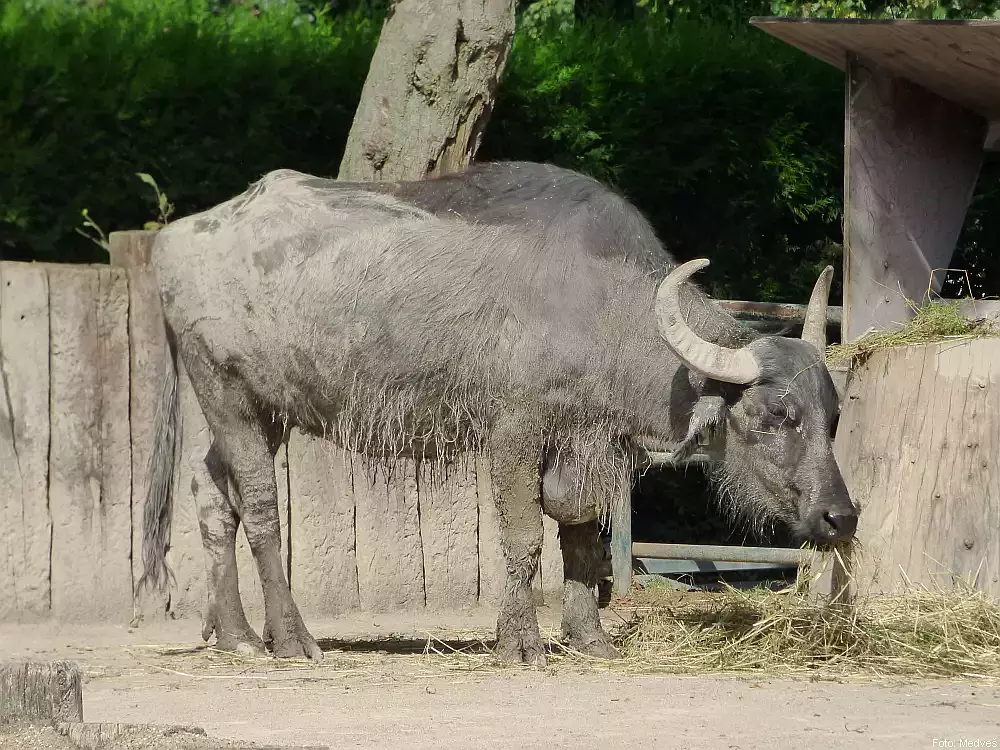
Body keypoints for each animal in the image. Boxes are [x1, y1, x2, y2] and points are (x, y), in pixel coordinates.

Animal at [139, 163, 860, 664]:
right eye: (775, 413)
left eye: (833, 417)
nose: (840, 517)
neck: (598, 303)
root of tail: (175, 240)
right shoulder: (514, 430)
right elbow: (523, 538)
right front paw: (521, 642)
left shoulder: (588, 442)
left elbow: (580, 537)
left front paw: (590, 638)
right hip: (226, 391)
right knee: (260, 507)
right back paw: (290, 638)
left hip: (266, 409)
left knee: (211, 492)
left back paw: (235, 634)